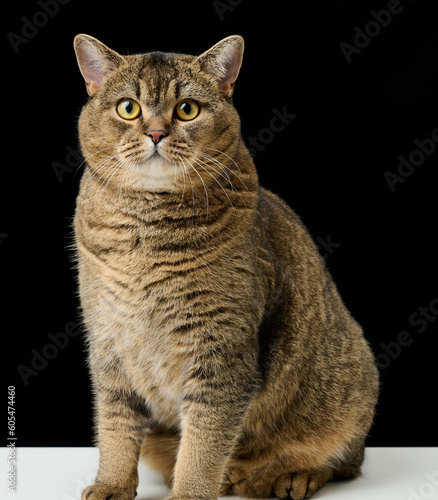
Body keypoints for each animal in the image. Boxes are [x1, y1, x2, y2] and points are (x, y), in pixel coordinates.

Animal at [72, 32, 380, 500]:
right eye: (128, 108)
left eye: (187, 109)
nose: (156, 132)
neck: (145, 238)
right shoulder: (109, 344)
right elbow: (115, 427)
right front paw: (111, 484)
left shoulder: (221, 352)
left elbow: (204, 440)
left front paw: (190, 493)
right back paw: (233, 476)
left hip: (352, 385)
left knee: (344, 460)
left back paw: (289, 476)